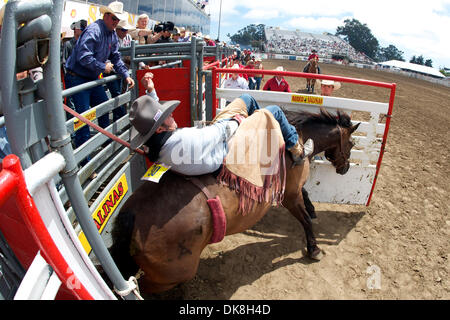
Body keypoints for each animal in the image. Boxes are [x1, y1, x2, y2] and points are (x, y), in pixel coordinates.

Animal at [110, 109, 360, 294]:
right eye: (352, 143)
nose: (346, 168)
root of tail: (131, 216)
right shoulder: (290, 195)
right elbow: (306, 219)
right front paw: (314, 249)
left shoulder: (293, 191)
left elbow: (307, 199)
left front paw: (313, 211)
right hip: (169, 274)